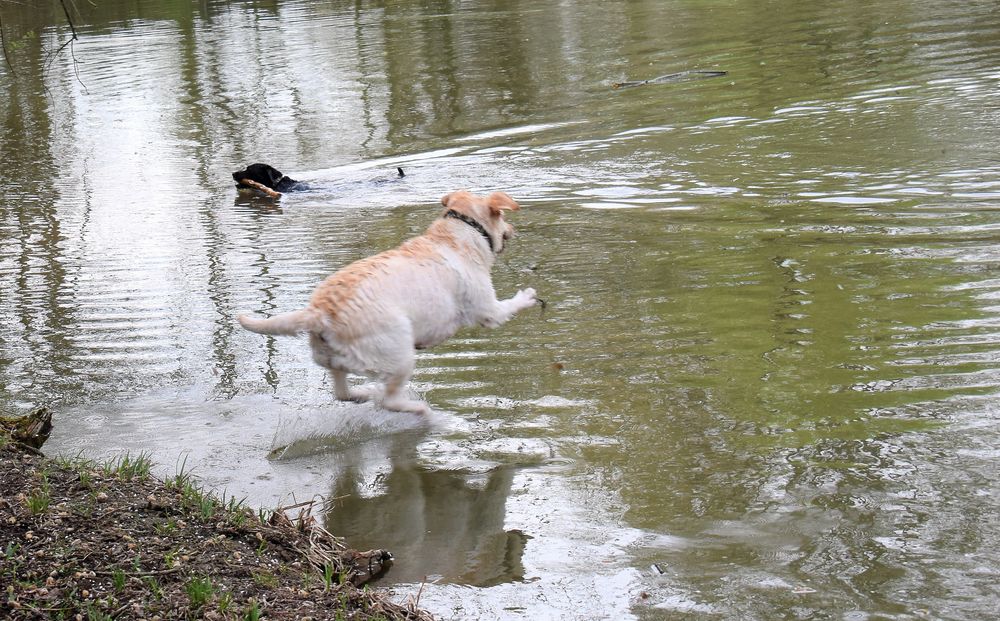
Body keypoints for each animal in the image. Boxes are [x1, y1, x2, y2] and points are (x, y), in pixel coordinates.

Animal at [239, 189, 540, 412]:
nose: (512, 228)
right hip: (399, 354)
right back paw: (420, 411)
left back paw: (361, 394)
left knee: (341, 392)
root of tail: (320, 311)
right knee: (390, 400)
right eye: (502, 216)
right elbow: (508, 306)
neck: (460, 231)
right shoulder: (488, 310)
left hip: (332, 360)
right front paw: (528, 296)